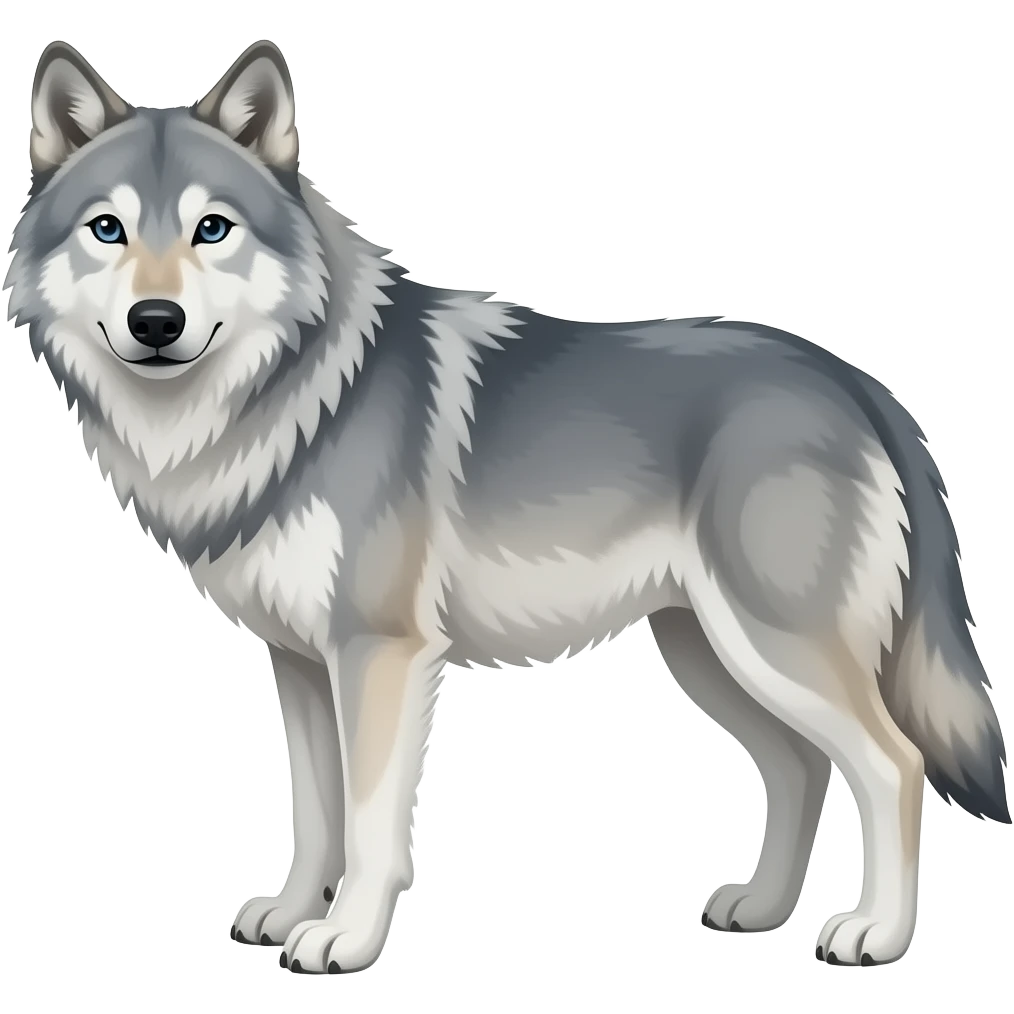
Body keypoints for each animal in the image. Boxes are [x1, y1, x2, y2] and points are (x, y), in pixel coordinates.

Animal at [5, 37, 1009, 973]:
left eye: (211, 229)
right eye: (107, 230)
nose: (156, 323)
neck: (290, 401)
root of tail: (852, 379)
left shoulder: (381, 654)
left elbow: (369, 823)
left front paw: (346, 939)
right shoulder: (300, 664)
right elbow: (315, 813)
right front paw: (291, 916)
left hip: (772, 646)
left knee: (893, 765)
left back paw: (876, 934)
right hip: (711, 653)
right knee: (801, 766)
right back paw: (760, 908)